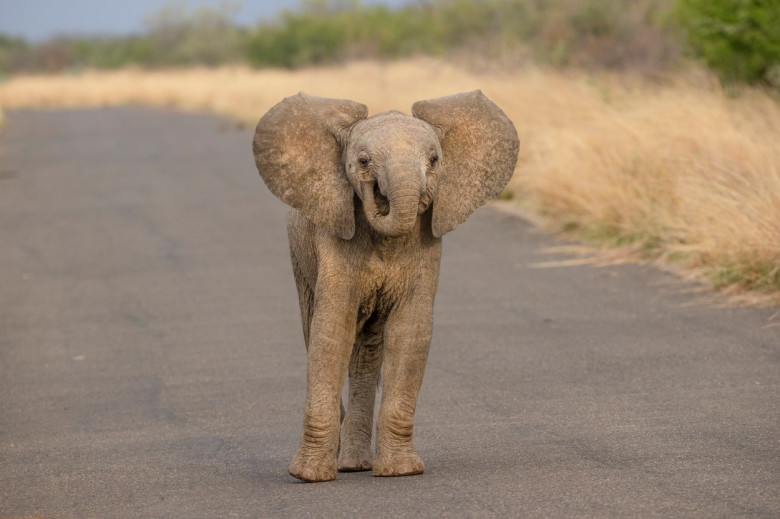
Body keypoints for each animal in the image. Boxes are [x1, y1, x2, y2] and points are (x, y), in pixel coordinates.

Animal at [251, 90, 516, 484]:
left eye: (434, 160)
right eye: (363, 161)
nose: (377, 197)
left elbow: (410, 333)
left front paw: (401, 472)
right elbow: (331, 332)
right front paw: (310, 476)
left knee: (367, 354)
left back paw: (355, 464)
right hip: (299, 256)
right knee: (314, 328)